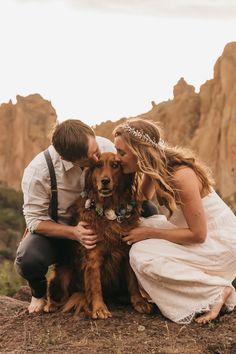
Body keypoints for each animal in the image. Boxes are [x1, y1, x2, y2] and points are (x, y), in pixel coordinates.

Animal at [45, 151, 153, 318]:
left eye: (115, 165)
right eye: (97, 166)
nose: (105, 181)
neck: (109, 209)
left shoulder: (127, 250)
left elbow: (133, 281)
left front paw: (139, 301)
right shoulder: (93, 254)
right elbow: (95, 284)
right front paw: (99, 308)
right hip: (65, 272)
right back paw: (51, 304)